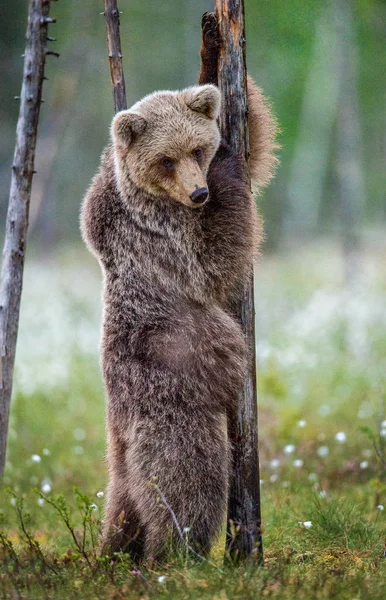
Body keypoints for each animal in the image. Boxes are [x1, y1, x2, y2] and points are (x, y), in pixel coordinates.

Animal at [80, 11, 278, 560]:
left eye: (194, 147)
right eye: (165, 159)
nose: (199, 191)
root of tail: (120, 432)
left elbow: (254, 139)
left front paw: (213, 55)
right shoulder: (158, 234)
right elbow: (212, 260)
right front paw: (230, 163)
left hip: (122, 457)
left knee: (125, 503)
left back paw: (117, 552)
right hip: (173, 404)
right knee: (189, 479)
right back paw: (179, 553)